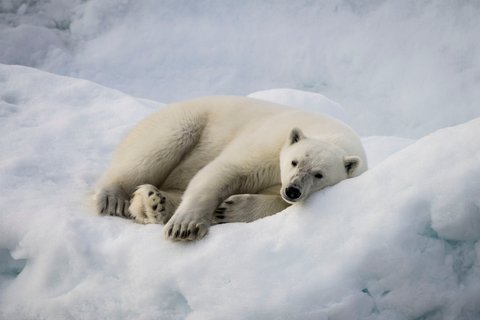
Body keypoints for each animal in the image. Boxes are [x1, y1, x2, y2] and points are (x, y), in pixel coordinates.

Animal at [96, 96, 368, 241]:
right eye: (295, 161)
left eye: (319, 174)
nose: (292, 190)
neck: (331, 134)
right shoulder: (267, 143)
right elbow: (226, 170)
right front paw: (185, 226)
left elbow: (276, 201)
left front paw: (229, 209)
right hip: (181, 121)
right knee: (153, 150)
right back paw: (113, 198)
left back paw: (154, 202)